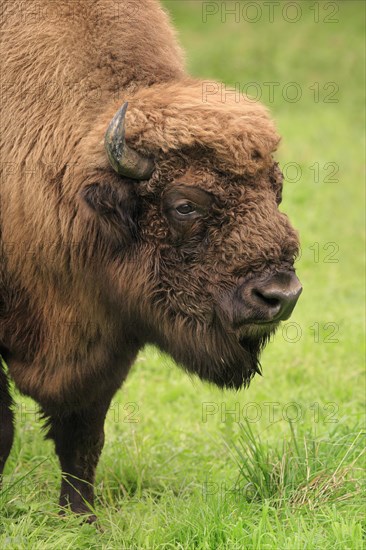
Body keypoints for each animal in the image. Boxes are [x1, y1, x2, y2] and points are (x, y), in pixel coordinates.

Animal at [0, 0, 302, 520]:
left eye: (276, 191)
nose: (279, 296)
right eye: (184, 206)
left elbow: (83, 434)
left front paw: (80, 517)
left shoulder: (108, 338)